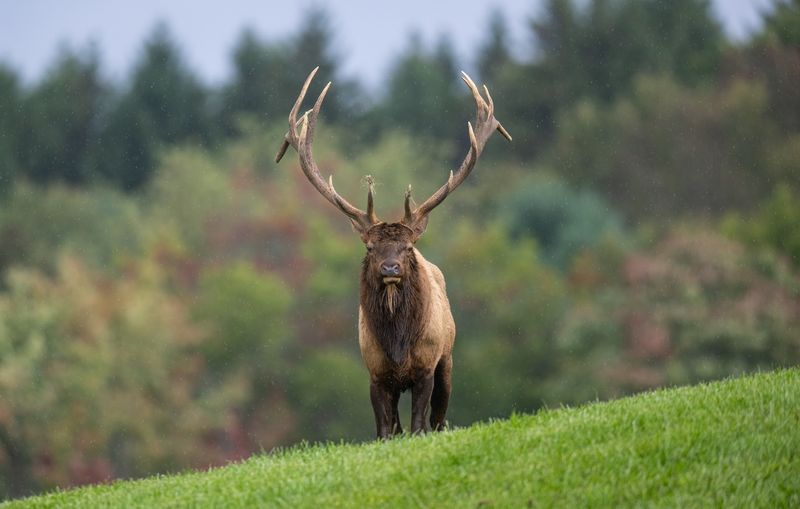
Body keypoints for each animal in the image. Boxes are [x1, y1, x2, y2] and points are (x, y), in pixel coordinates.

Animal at [275, 67, 511, 439]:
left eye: (408, 246)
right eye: (371, 247)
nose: (390, 268)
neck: (398, 346)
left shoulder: (427, 366)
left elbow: (418, 425)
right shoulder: (376, 372)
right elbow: (385, 429)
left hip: (448, 360)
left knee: (439, 418)